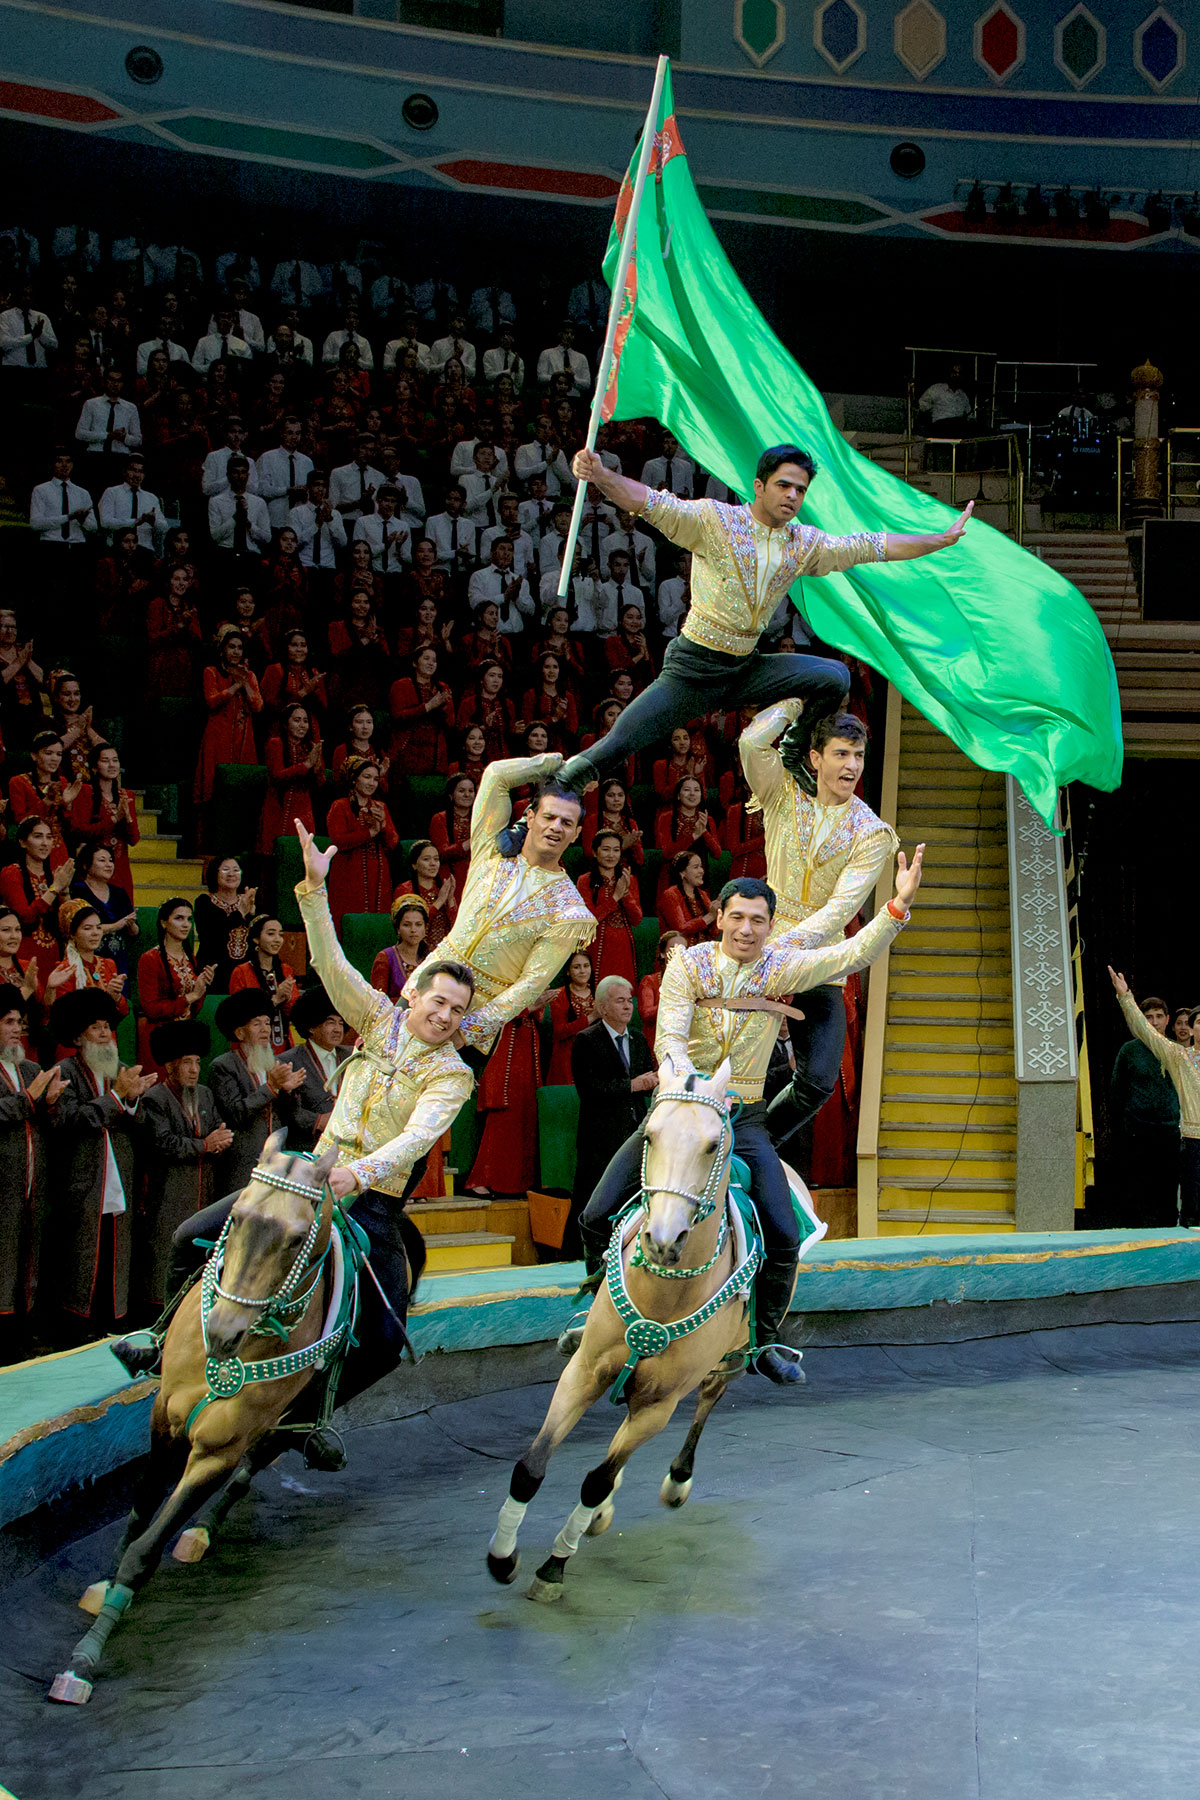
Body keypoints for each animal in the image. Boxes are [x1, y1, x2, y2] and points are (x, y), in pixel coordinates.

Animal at [52, 1130, 352, 1706]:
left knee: (262, 1458)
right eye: (235, 1216)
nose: (223, 1331)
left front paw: (84, 1658)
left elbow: (147, 1548)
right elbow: (139, 1513)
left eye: (296, 1239)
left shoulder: (216, 1451)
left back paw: (206, 1528)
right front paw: (103, 1589)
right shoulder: (163, 1421)